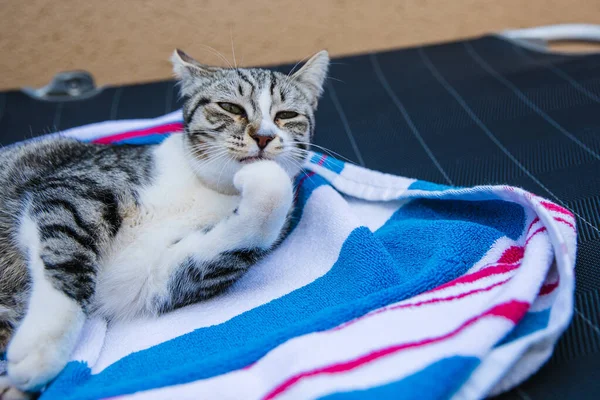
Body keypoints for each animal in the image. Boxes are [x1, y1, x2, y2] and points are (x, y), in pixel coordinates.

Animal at [0, 47, 328, 396]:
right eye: (230, 107)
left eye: (286, 115)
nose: (264, 136)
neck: (207, 189)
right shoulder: (72, 188)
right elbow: (68, 259)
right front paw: (42, 347)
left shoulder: (150, 276)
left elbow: (267, 199)